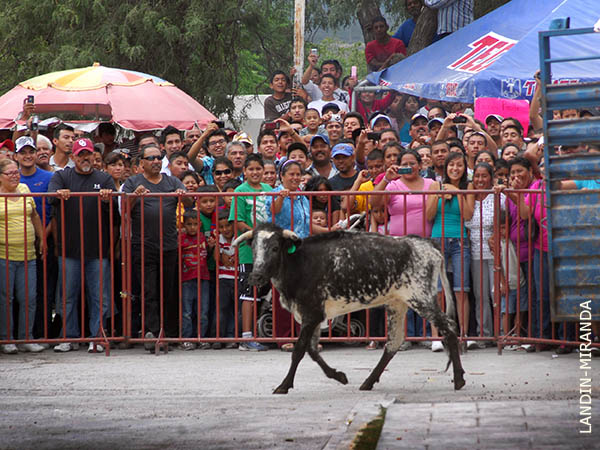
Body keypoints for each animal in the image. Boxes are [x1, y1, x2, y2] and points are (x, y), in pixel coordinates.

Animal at [232, 224, 466, 394]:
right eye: (254, 248)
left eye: (274, 248)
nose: (256, 277)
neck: (300, 263)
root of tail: (427, 244)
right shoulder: (314, 317)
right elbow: (312, 350)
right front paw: (339, 376)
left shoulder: (311, 314)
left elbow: (299, 350)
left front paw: (284, 385)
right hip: (397, 304)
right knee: (393, 342)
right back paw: (369, 381)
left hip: (421, 298)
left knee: (449, 328)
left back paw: (459, 379)